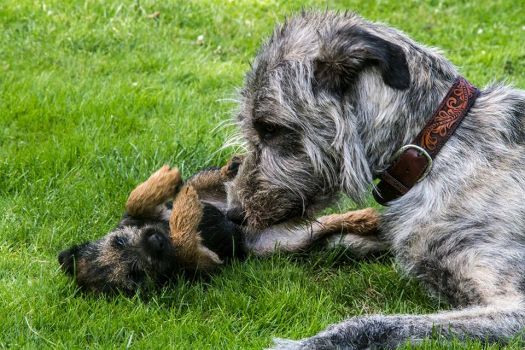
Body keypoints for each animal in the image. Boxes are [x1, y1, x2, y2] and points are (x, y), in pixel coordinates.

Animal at [57, 159, 378, 296]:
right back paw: (367, 218)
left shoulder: (143, 214)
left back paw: (228, 168)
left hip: (220, 191)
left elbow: (135, 199)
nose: (156, 242)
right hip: (287, 241)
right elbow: (187, 245)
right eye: (135, 277)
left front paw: (167, 185)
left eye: (119, 242)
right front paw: (185, 215)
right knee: (324, 224)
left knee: (208, 179)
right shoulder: (204, 263)